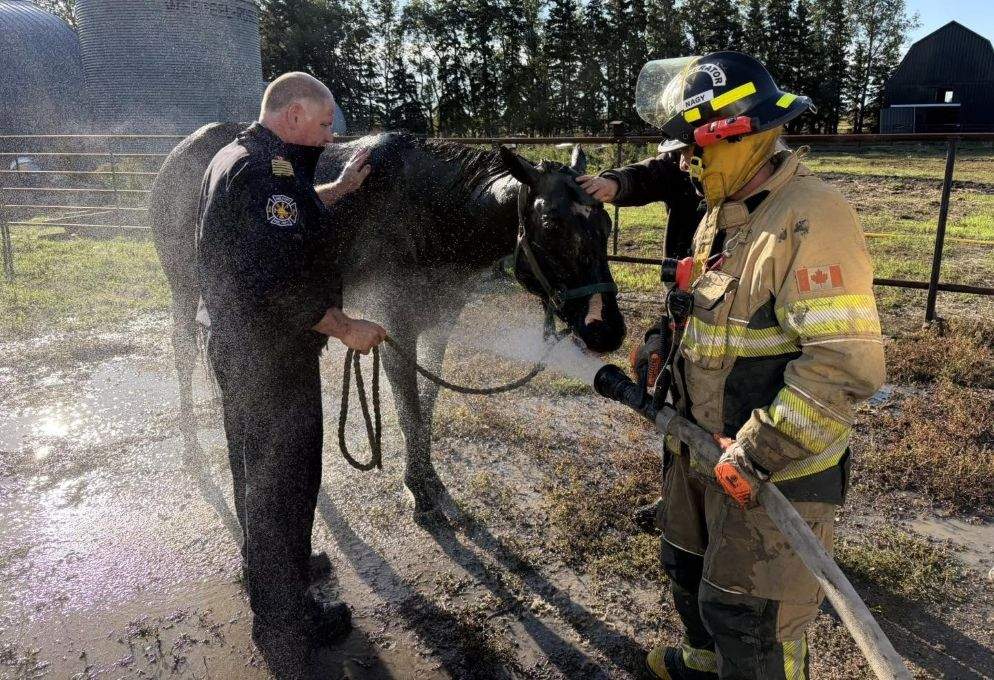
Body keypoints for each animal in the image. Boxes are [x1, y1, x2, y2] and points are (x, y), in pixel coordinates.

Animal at [148, 123, 626, 515]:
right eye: (551, 223)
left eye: (605, 222)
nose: (608, 330)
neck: (437, 212)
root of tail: (174, 156)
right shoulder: (395, 323)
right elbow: (408, 405)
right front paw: (418, 488)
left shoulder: (438, 324)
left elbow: (427, 399)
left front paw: (431, 479)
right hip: (185, 288)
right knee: (185, 353)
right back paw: (193, 448)